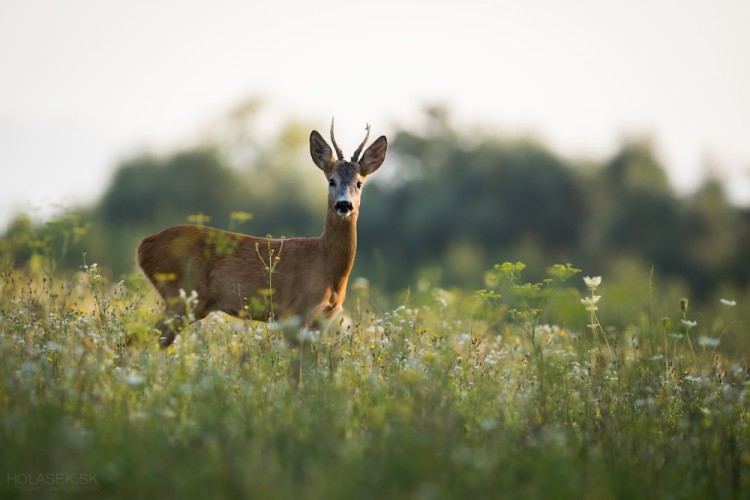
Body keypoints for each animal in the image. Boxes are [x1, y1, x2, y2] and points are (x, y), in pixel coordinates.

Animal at [137, 121, 390, 348]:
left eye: (359, 183)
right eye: (331, 181)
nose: (344, 205)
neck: (326, 266)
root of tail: (143, 246)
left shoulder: (321, 320)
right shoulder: (293, 312)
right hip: (182, 297)